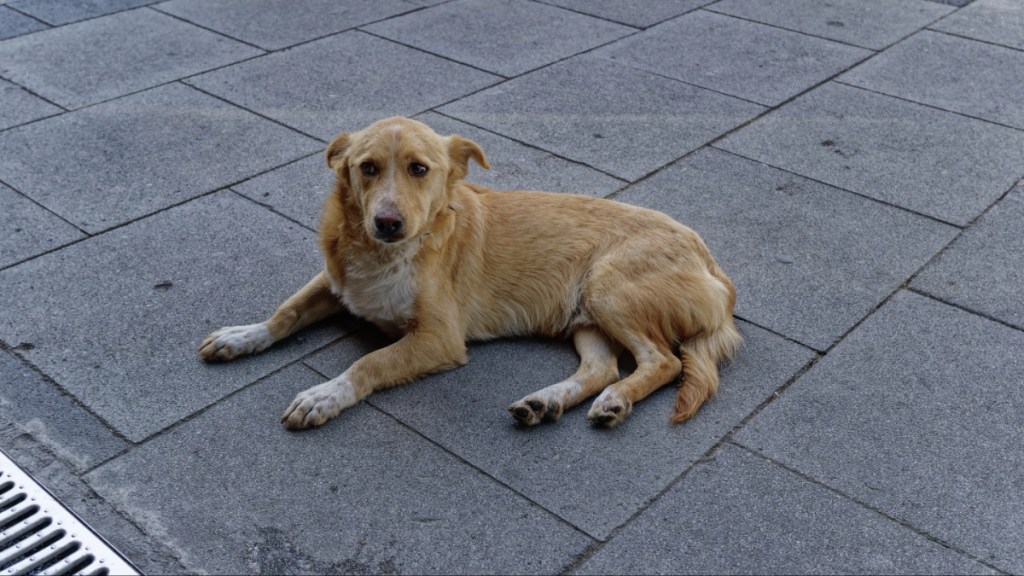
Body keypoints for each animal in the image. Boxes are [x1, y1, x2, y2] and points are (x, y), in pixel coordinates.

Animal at [199, 116, 741, 428]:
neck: (386, 254)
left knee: (663, 362)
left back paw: (614, 401)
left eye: (419, 169)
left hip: (609, 289)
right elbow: (286, 312)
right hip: (585, 317)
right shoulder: (336, 281)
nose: (387, 222)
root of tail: (714, 265)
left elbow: (368, 363)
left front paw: (325, 395)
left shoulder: (438, 338)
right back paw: (546, 402)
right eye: (367, 167)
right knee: (601, 368)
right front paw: (242, 335)